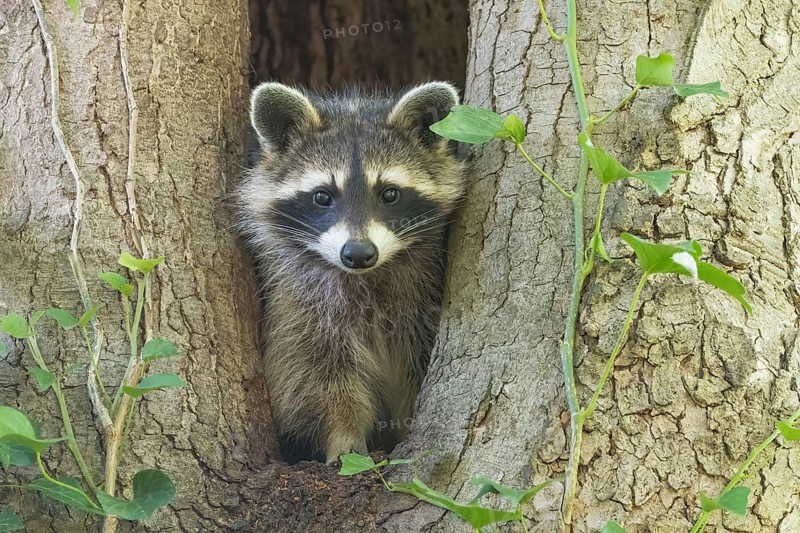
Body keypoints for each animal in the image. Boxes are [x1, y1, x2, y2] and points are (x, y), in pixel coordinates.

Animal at [236, 81, 466, 464]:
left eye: (390, 194)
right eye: (322, 197)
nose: (358, 254)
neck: (366, 278)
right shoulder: (299, 301)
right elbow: (313, 372)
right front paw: (344, 435)